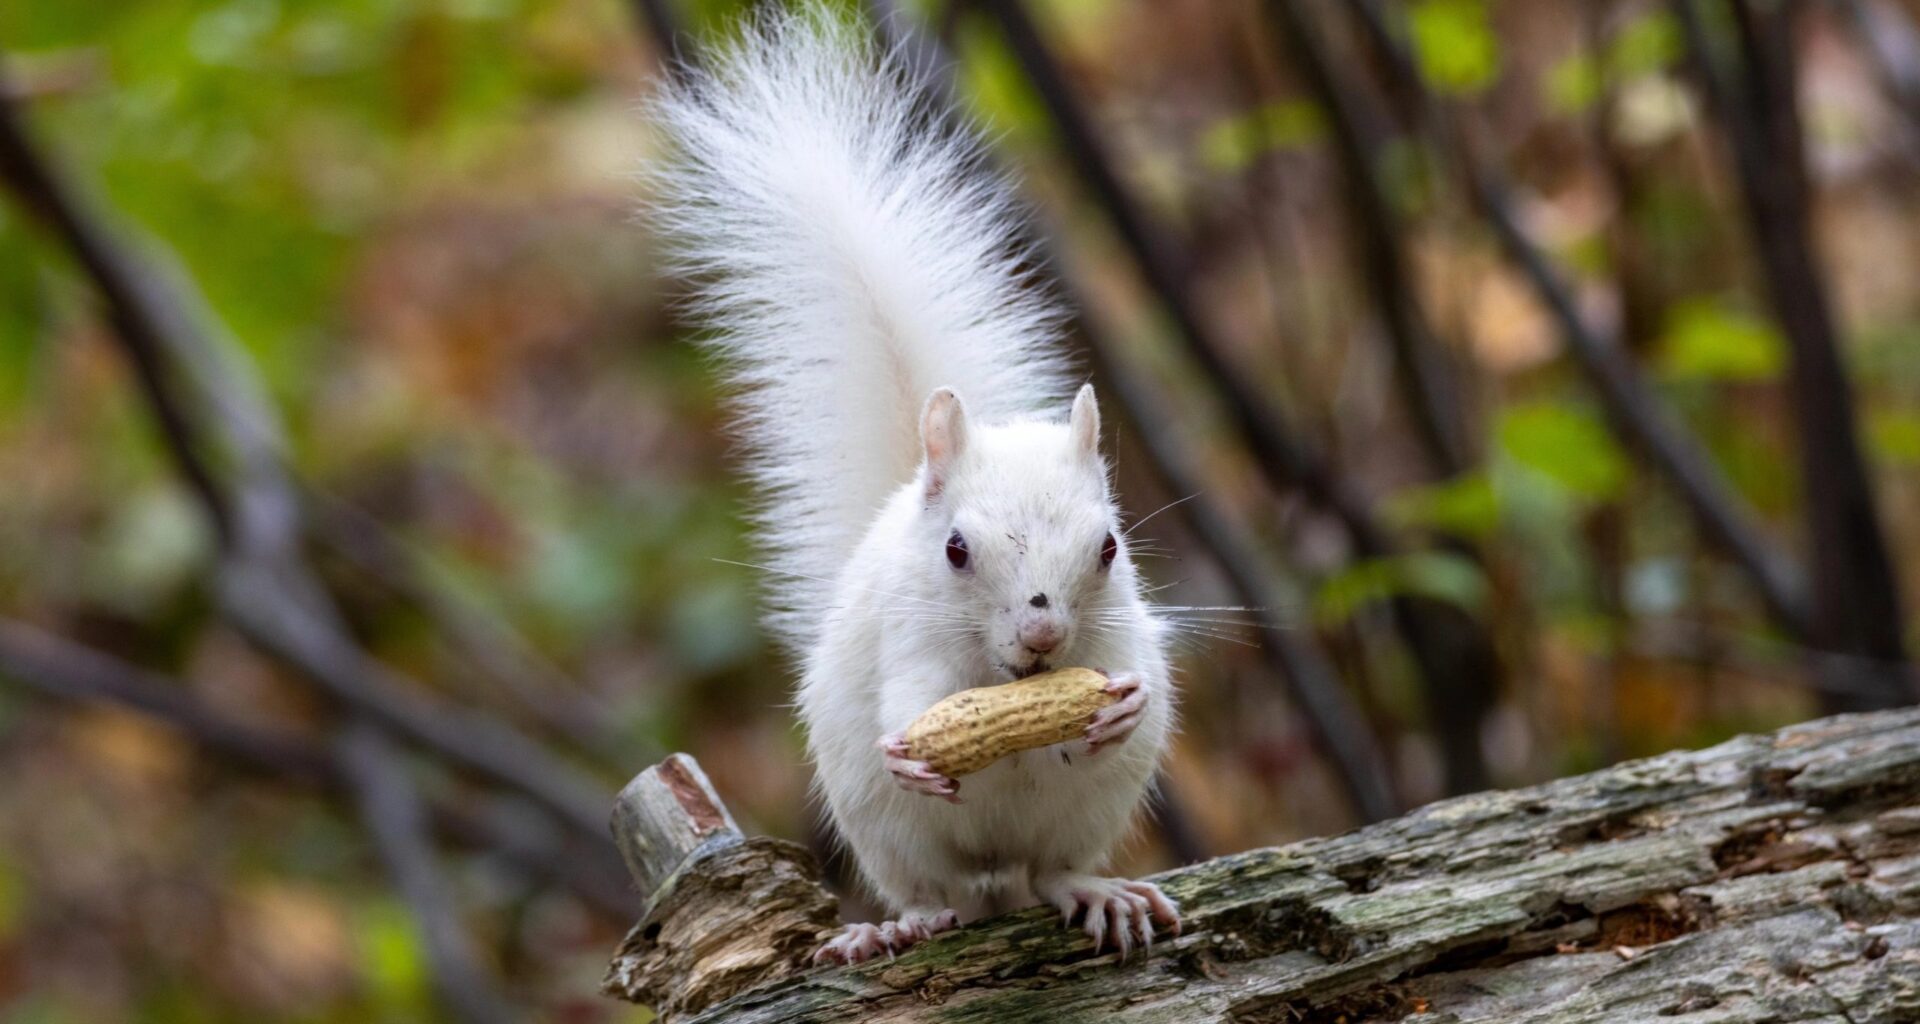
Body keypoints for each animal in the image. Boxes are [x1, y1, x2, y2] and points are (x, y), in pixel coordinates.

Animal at [648, 4, 1179, 964]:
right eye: (956, 551)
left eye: (1110, 547)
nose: (1044, 635)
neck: (1006, 685)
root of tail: (998, 882)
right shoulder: (912, 644)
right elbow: (912, 711)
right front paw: (916, 757)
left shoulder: (1117, 634)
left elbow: (1130, 681)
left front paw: (1119, 708)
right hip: (891, 836)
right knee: (946, 897)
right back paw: (899, 926)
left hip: (1084, 819)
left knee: (1051, 872)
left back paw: (1094, 893)